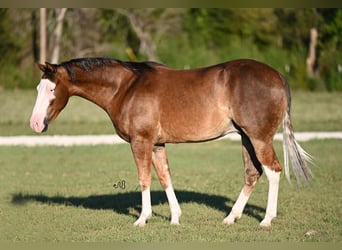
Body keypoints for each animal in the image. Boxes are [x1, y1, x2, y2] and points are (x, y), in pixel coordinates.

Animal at [29, 57, 312, 228]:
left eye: (52, 89)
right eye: (38, 89)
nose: (35, 124)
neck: (125, 87)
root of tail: (277, 76)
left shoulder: (140, 142)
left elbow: (144, 178)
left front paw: (142, 219)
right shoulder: (156, 145)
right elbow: (165, 177)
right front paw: (175, 217)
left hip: (259, 138)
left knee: (273, 171)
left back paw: (266, 220)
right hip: (246, 138)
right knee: (252, 173)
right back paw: (231, 217)